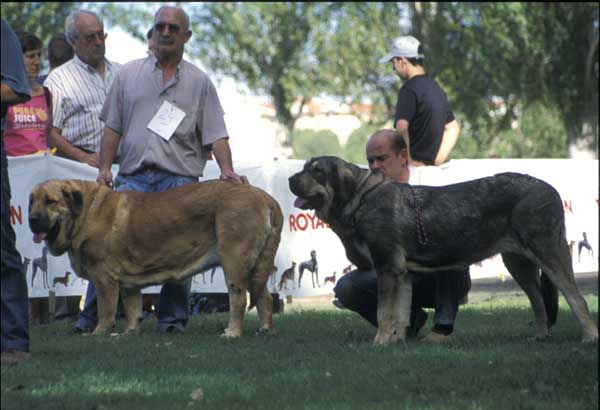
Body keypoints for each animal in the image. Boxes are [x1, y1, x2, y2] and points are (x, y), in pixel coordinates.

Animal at [27, 179, 282, 336]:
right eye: (31, 201)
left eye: (50, 201)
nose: (32, 219)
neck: (86, 211)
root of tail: (266, 197)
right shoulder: (127, 282)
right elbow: (132, 308)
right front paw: (129, 333)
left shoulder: (104, 279)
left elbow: (106, 310)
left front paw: (99, 332)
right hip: (257, 266)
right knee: (265, 297)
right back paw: (265, 329)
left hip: (235, 261)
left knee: (238, 300)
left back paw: (232, 333)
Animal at [288, 155, 596, 344]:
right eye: (304, 167)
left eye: (316, 170)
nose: (291, 179)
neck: (363, 196)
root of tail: (551, 189)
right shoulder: (401, 274)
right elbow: (399, 313)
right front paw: (395, 342)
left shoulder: (387, 267)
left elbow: (384, 312)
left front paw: (379, 342)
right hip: (518, 264)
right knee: (539, 302)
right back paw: (541, 336)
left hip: (549, 254)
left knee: (576, 298)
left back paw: (589, 337)